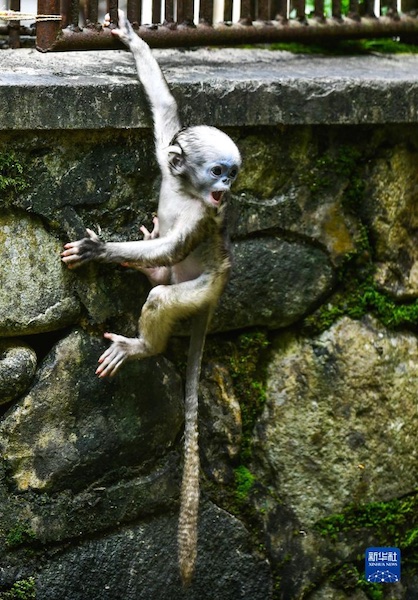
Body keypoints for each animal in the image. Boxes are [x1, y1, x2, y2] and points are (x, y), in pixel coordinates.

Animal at [60, 10, 240, 584]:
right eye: (219, 170)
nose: (227, 188)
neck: (187, 192)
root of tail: (222, 281)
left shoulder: (205, 218)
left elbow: (179, 238)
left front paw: (97, 249)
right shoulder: (168, 160)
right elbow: (165, 113)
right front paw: (133, 39)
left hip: (200, 288)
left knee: (164, 295)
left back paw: (143, 346)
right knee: (158, 267)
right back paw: (137, 265)